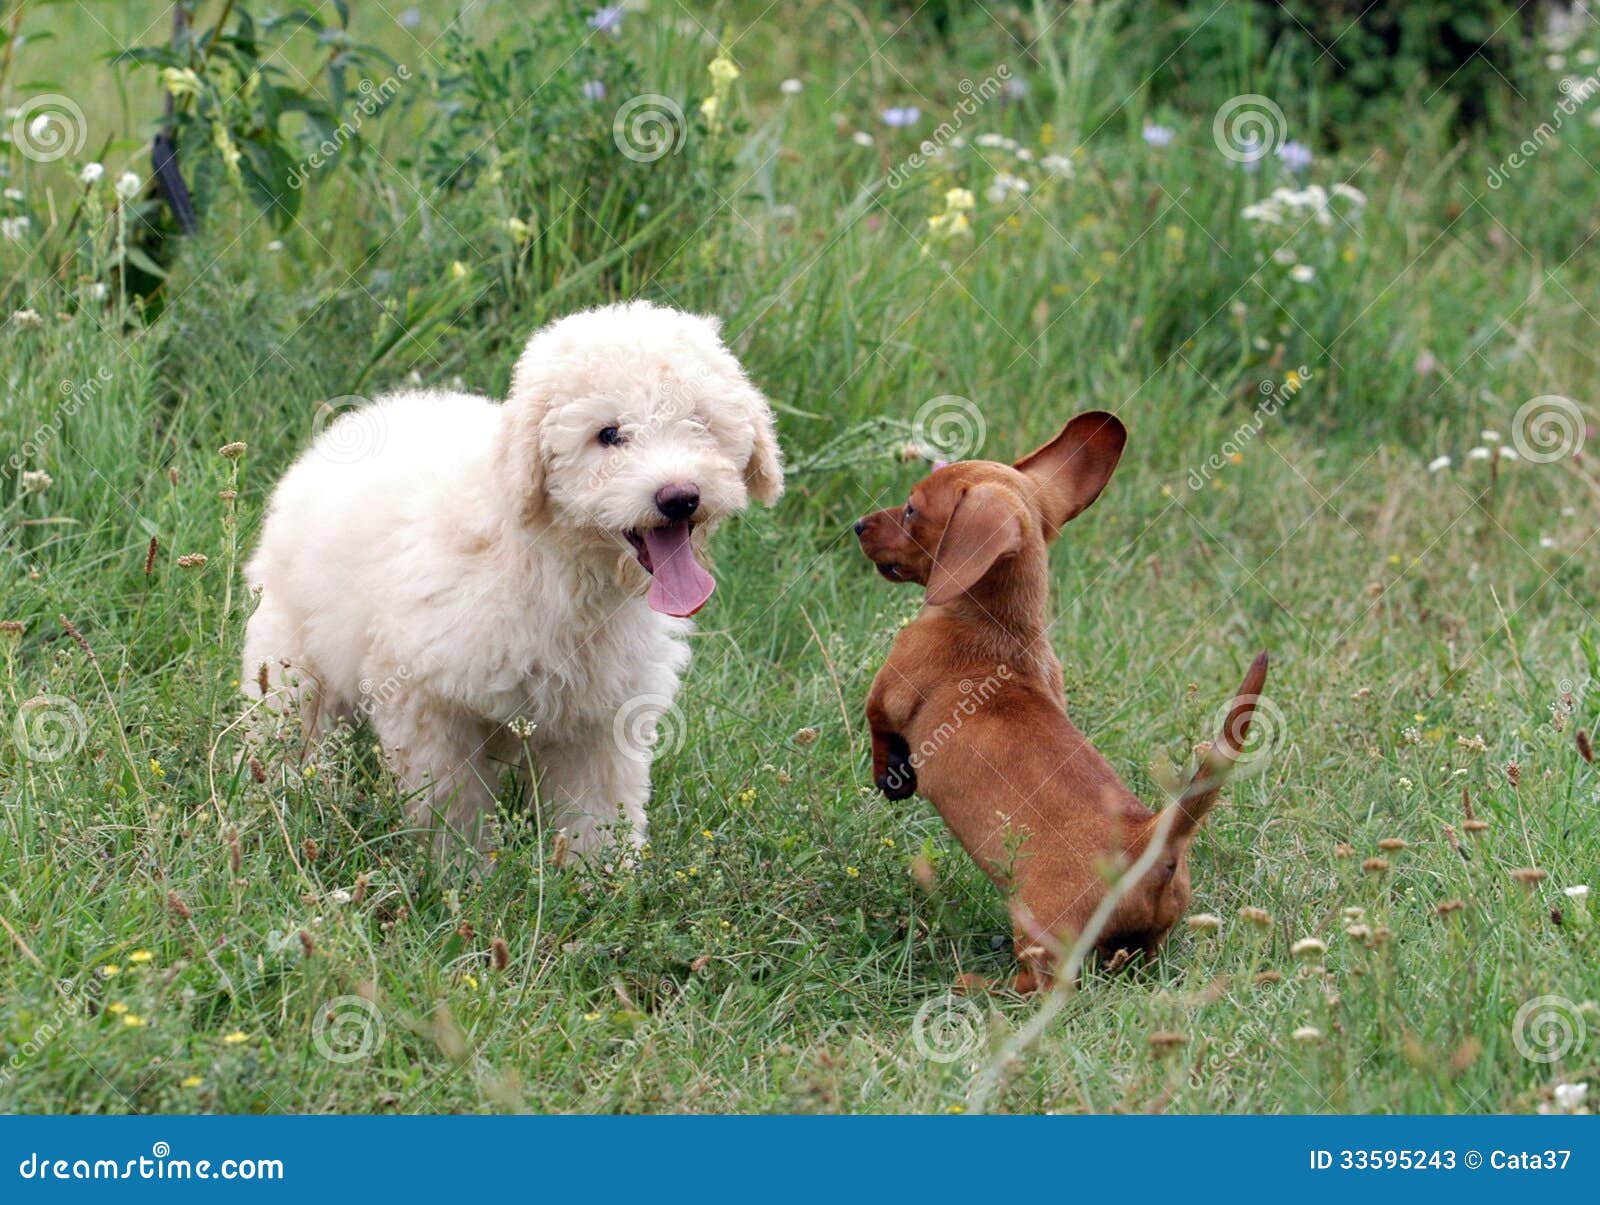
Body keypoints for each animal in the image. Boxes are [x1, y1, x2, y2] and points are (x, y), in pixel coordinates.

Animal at [240, 305, 784, 857]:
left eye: (700, 423)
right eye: (608, 435)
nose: (679, 497)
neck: (554, 562)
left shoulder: (605, 714)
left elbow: (600, 807)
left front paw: (602, 874)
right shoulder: (428, 699)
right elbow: (450, 802)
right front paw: (460, 869)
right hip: (288, 654)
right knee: (288, 725)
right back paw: (284, 799)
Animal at [857, 412, 1267, 985]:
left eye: (913, 508)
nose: (858, 525)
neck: (999, 623)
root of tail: (1151, 841)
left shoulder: (889, 691)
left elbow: (879, 729)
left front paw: (892, 779)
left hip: (1041, 930)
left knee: (1044, 986)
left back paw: (977, 985)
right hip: (1146, 946)